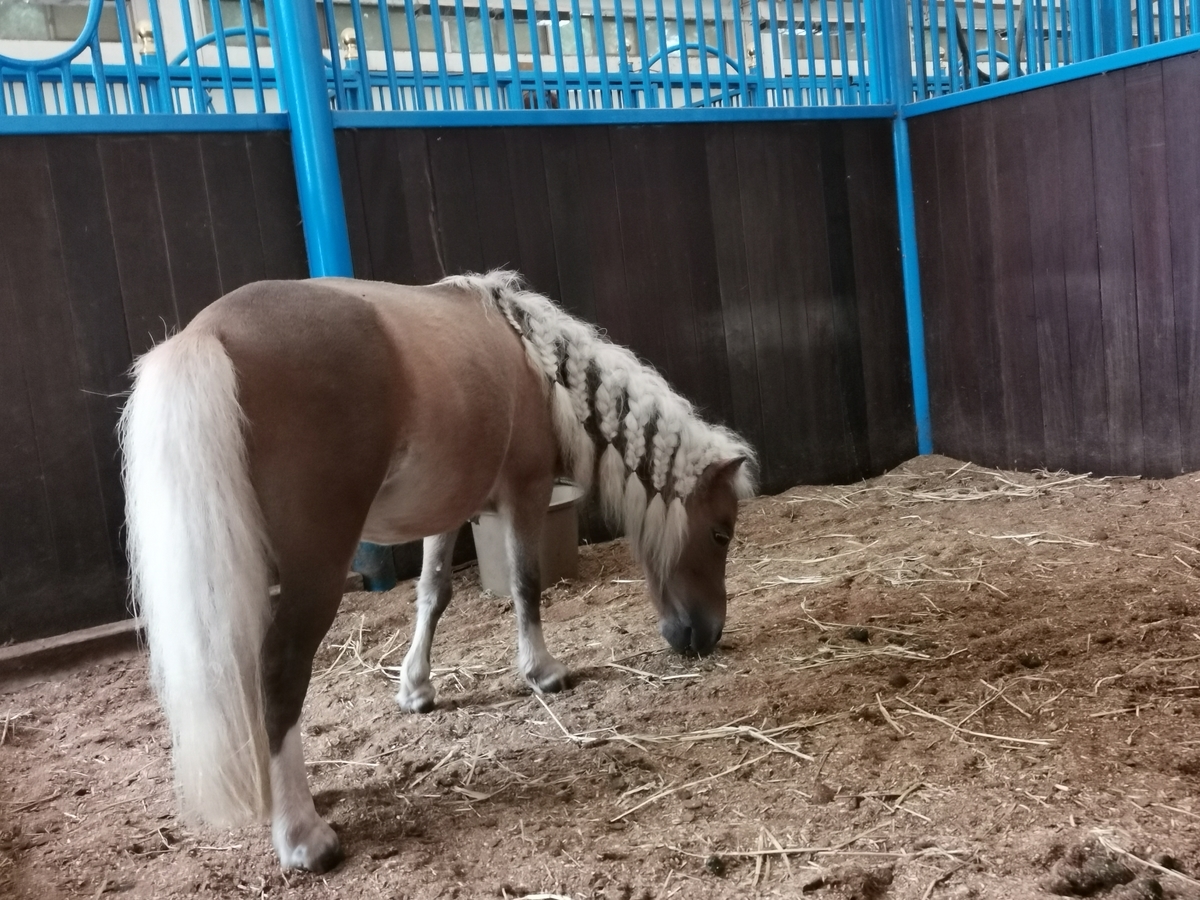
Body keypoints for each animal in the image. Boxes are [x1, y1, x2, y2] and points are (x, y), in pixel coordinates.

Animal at [119, 271, 755, 872]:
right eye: (720, 533)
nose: (705, 635)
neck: (537, 364)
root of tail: (210, 334)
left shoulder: (447, 511)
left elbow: (433, 593)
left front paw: (416, 687)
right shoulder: (525, 492)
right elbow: (526, 585)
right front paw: (542, 671)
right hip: (314, 568)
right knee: (278, 671)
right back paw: (302, 834)